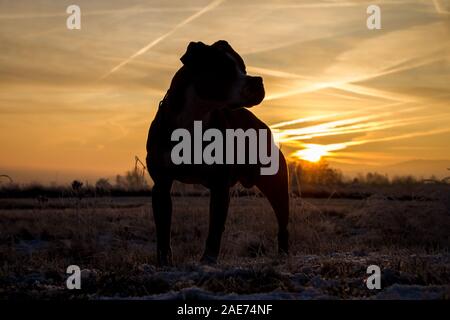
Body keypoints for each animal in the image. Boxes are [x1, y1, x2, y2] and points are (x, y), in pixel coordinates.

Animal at [146, 40, 290, 264]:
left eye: (244, 69)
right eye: (225, 70)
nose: (258, 81)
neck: (194, 118)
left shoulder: (220, 185)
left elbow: (214, 229)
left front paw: (208, 260)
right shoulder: (161, 185)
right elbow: (163, 231)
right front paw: (164, 263)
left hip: (277, 184)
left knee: (283, 224)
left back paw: (283, 255)